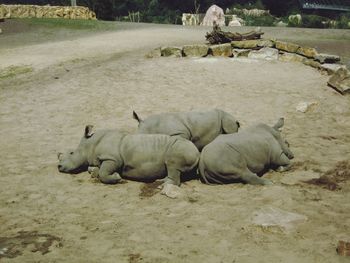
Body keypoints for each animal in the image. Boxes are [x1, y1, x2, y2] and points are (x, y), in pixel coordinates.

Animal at [57, 126, 200, 198]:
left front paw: (117, 178)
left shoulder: (113, 158)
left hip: (180, 148)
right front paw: (94, 173)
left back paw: (161, 184)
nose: (59, 166)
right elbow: (96, 169)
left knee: (172, 165)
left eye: (71, 153)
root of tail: (198, 153)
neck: (91, 144)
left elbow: (104, 172)